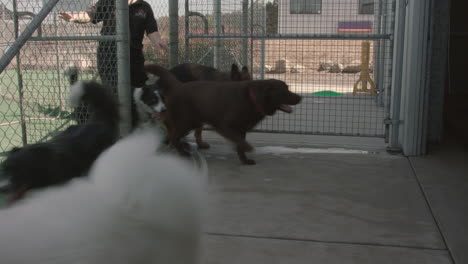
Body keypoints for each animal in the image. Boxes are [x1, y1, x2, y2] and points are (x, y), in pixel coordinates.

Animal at [144, 63, 302, 165]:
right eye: (284, 91)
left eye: (288, 88)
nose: (300, 97)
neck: (252, 98)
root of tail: (178, 85)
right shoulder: (224, 126)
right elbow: (240, 142)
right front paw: (248, 148)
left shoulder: (241, 128)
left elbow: (240, 145)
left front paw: (245, 160)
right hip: (186, 122)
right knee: (174, 137)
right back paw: (182, 152)